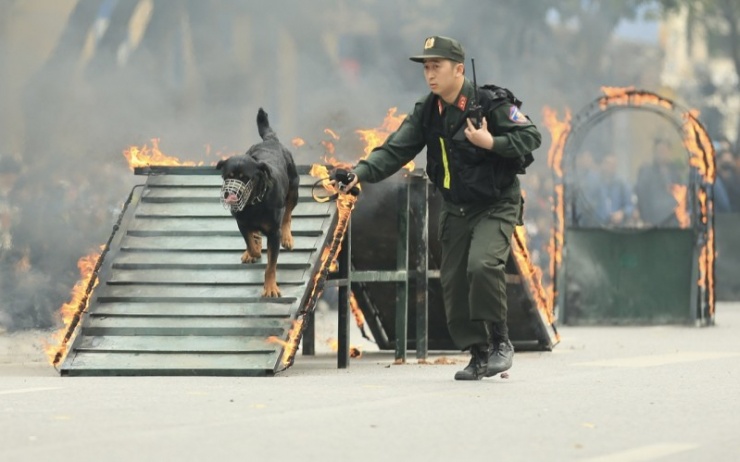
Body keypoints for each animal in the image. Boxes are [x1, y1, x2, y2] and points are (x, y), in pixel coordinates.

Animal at [217, 107, 300, 296]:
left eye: (245, 177)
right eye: (227, 176)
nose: (230, 193)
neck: (254, 203)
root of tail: (271, 140)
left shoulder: (274, 234)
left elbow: (271, 266)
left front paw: (270, 287)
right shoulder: (242, 223)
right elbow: (251, 243)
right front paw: (252, 252)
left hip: (294, 189)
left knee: (288, 215)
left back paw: (287, 237)